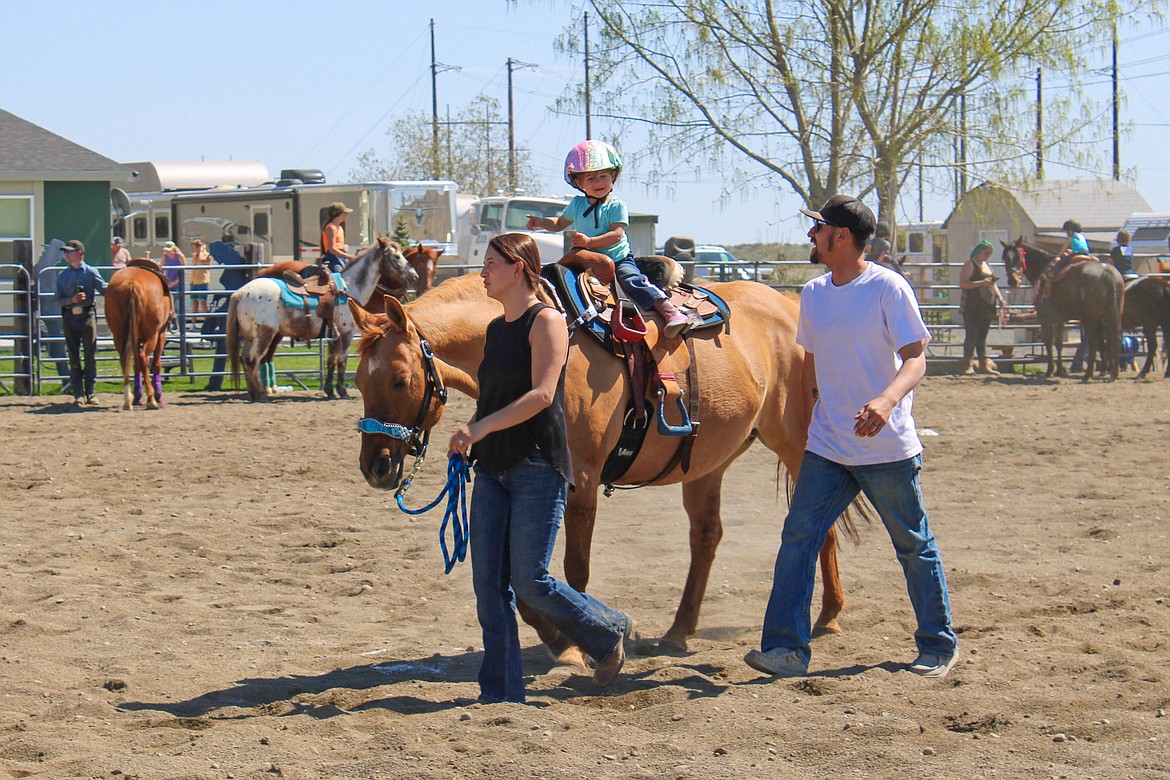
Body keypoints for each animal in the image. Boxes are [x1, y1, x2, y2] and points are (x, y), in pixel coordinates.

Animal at [104, 260, 173, 411]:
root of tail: (132, 283)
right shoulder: (161, 335)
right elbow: (156, 364)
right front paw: (158, 396)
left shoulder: (134, 338)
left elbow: (136, 366)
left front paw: (137, 396)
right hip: (152, 335)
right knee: (144, 358)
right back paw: (152, 399)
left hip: (119, 336)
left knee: (126, 360)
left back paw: (127, 400)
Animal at [225, 236, 414, 402]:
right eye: (396, 256)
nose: (414, 275)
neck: (349, 288)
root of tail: (240, 293)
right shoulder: (345, 333)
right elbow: (342, 361)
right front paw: (342, 391)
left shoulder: (333, 335)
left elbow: (331, 361)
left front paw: (330, 391)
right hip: (264, 335)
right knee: (252, 361)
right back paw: (260, 394)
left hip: (250, 337)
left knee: (245, 360)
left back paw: (253, 393)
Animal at [346, 273, 851, 664]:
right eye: (359, 383)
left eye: (400, 379)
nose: (376, 467)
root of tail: (789, 305)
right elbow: (520, 580)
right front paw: (561, 642)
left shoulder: (580, 482)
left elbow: (571, 572)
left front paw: (579, 645)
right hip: (708, 463)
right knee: (707, 537)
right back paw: (678, 632)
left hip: (797, 442)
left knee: (819, 525)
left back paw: (828, 616)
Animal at [996, 239, 1123, 383]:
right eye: (1005, 258)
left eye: (1018, 256)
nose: (1013, 280)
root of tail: (1107, 273)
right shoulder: (1060, 318)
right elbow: (1059, 343)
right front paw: (1060, 370)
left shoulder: (1045, 317)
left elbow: (1049, 342)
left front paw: (1050, 370)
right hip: (1111, 315)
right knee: (1113, 339)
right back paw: (1112, 374)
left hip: (1090, 318)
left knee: (1095, 342)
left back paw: (1088, 375)